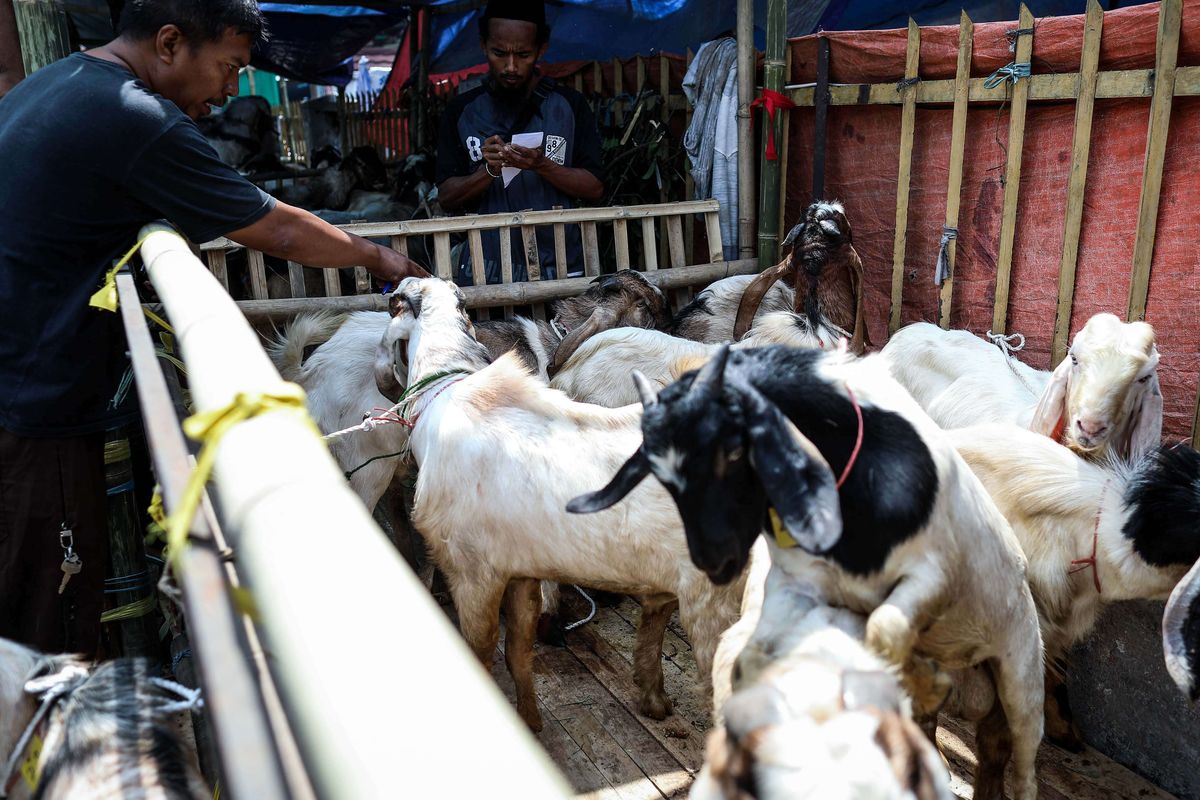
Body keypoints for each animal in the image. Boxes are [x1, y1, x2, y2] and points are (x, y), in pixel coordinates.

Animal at [374, 280, 748, 734]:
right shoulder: (518, 571)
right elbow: (518, 652)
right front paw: (531, 722)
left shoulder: (474, 575)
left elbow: (483, 657)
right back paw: (654, 699)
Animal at [566, 345, 1046, 800]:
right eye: (662, 474)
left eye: (734, 450)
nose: (713, 559)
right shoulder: (799, 584)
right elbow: (749, 658)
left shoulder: (933, 573)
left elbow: (885, 627)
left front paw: (924, 683)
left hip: (1022, 674)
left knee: (1024, 763)